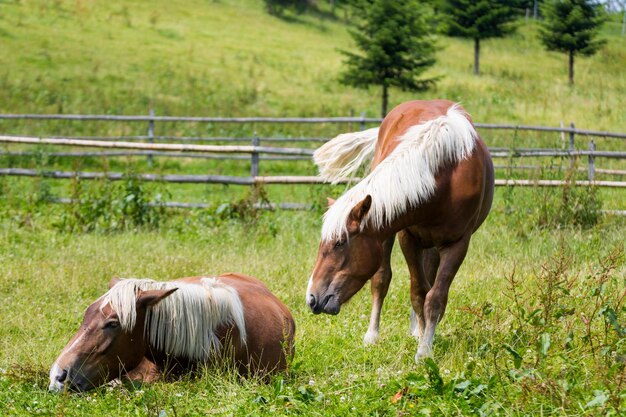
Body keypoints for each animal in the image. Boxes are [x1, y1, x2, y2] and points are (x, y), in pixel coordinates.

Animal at [306, 99, 492, 360]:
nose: (312, 298)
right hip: (389, 233)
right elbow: (417, 291)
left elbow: (435, 296)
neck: (444, 177)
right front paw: (422, 340)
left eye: (340, 242)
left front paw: (424, 349)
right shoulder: (407, 237)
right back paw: (373, 335)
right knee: (382, 280)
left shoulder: (458, 244)